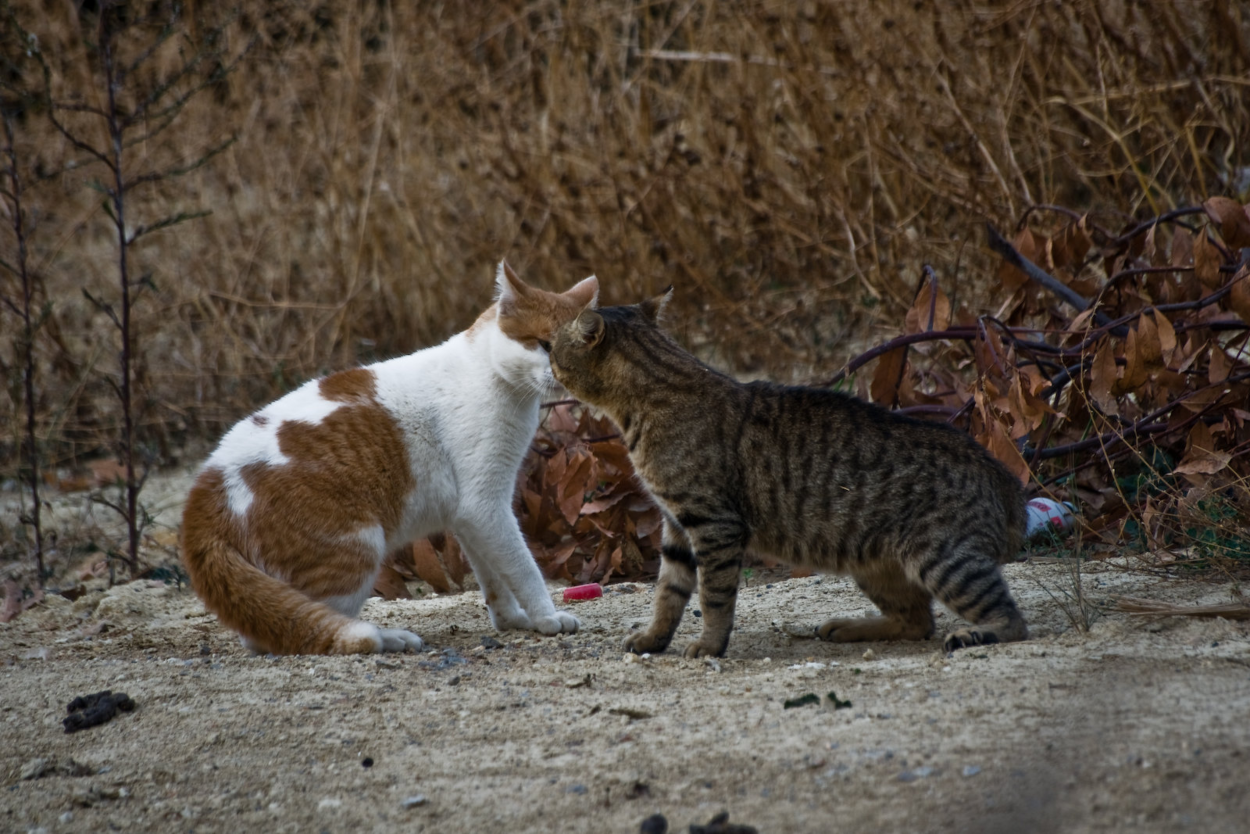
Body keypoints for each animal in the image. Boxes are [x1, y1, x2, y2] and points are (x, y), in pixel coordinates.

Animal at [180, 263, 600, 655]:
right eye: (544, 345)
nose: (564, 374)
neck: (493, 377)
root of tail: (205, 494)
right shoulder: (486, 504)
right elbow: (523, 568)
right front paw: (546, 617)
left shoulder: (471, 516)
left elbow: (493, 576)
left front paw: (511, 618)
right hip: (358, 547)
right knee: (295, 629)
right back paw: (390, 637)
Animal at [547, 292, 1025, 660]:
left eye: (553, 348)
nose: (544, 353)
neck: (644, 402)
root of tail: (1002, 473)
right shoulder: (676, 526)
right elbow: (667, 594)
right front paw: (653, 639)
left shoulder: (714, 524)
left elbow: (712, 596)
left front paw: (710, 645)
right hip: (878, 566)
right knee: (917, 620)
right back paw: (850, 627)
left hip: (943, 559)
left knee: (1010, 620)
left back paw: (975, 633)